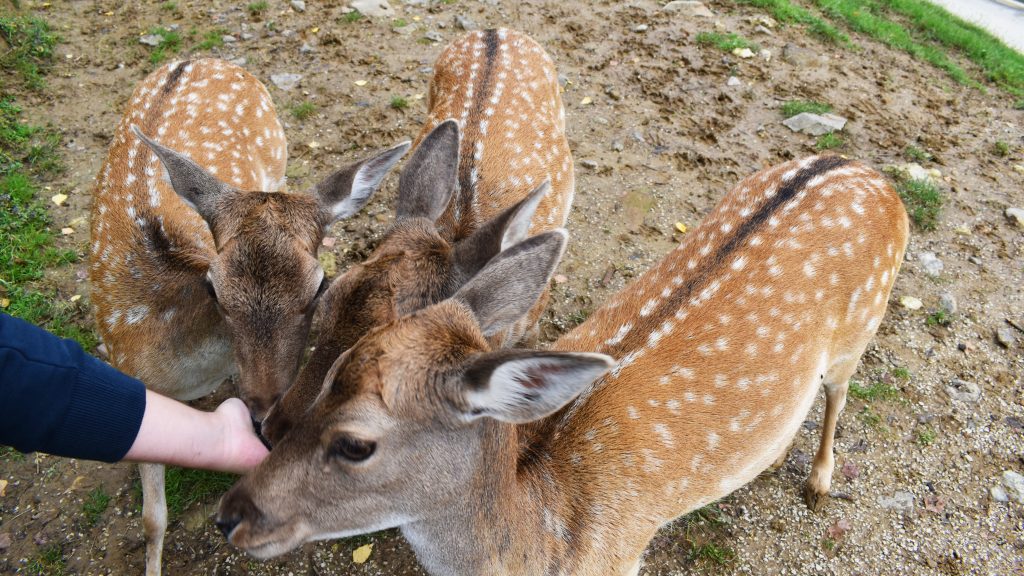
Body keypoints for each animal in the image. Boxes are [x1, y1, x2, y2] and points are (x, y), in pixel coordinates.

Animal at [88, 58, 407, 573]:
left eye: (320, 286)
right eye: (214, 290)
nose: (264, 412)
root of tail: (198, 59)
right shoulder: (134, 384)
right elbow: (152, 518)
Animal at [218, 154, 913, 569]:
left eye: (356, 443)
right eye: (327, 298)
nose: (232, 515)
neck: (546, 544)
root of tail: (870, 172)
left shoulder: (622, 557)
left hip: (863, 325)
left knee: (840, 392)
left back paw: (820, 481)